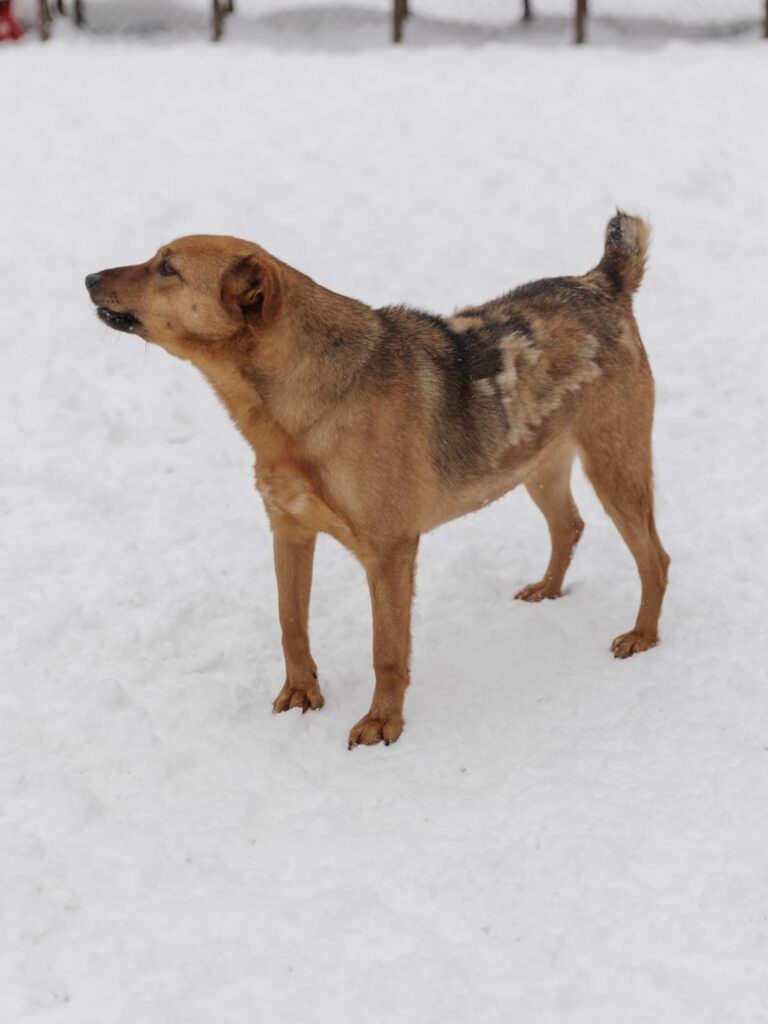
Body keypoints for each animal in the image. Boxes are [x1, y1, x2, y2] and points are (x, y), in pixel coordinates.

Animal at [86, 212, 670, 748]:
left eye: (167, 268)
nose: (89, 277)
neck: (292, 409)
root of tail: (601, 280)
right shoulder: (288, 530)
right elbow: (290, 624)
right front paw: (300, 695)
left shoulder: (390, 552)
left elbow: (385, 651)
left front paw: (382, 723)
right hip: (535, 462)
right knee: (569, 525)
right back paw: (548, 590)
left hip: (615, 466)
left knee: (654, 558)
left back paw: (642, 636)